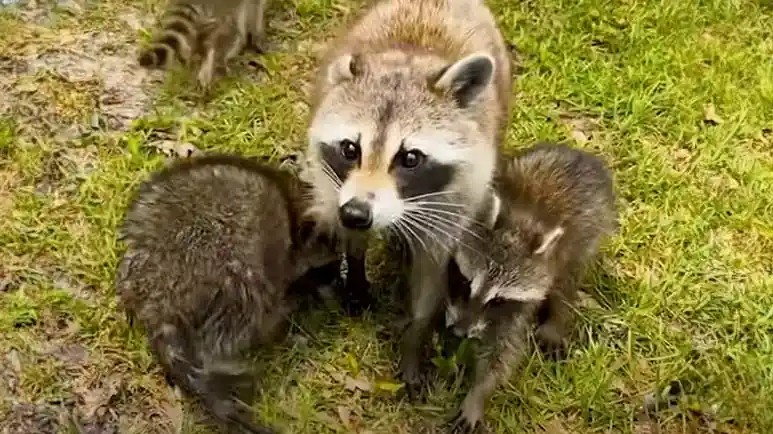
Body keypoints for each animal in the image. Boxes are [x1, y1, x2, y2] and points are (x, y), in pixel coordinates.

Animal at [300, 0, 512, 396]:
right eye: (350, 149)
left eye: (410, 158)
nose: (357, 213)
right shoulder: (334, 183)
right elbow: (352, 238)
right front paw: (356, 274)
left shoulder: (456, 198)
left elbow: (431, 272)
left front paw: (416, 337)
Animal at [444, 142, 620, 430]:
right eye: (466, 282)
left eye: (498, 300)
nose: (459, 332)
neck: (520, 223)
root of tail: (584, 157)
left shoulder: (519, 306)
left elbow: (503, 352)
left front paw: (479, 393)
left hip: (587, 237)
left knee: (566, 282)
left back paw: (557, 319)